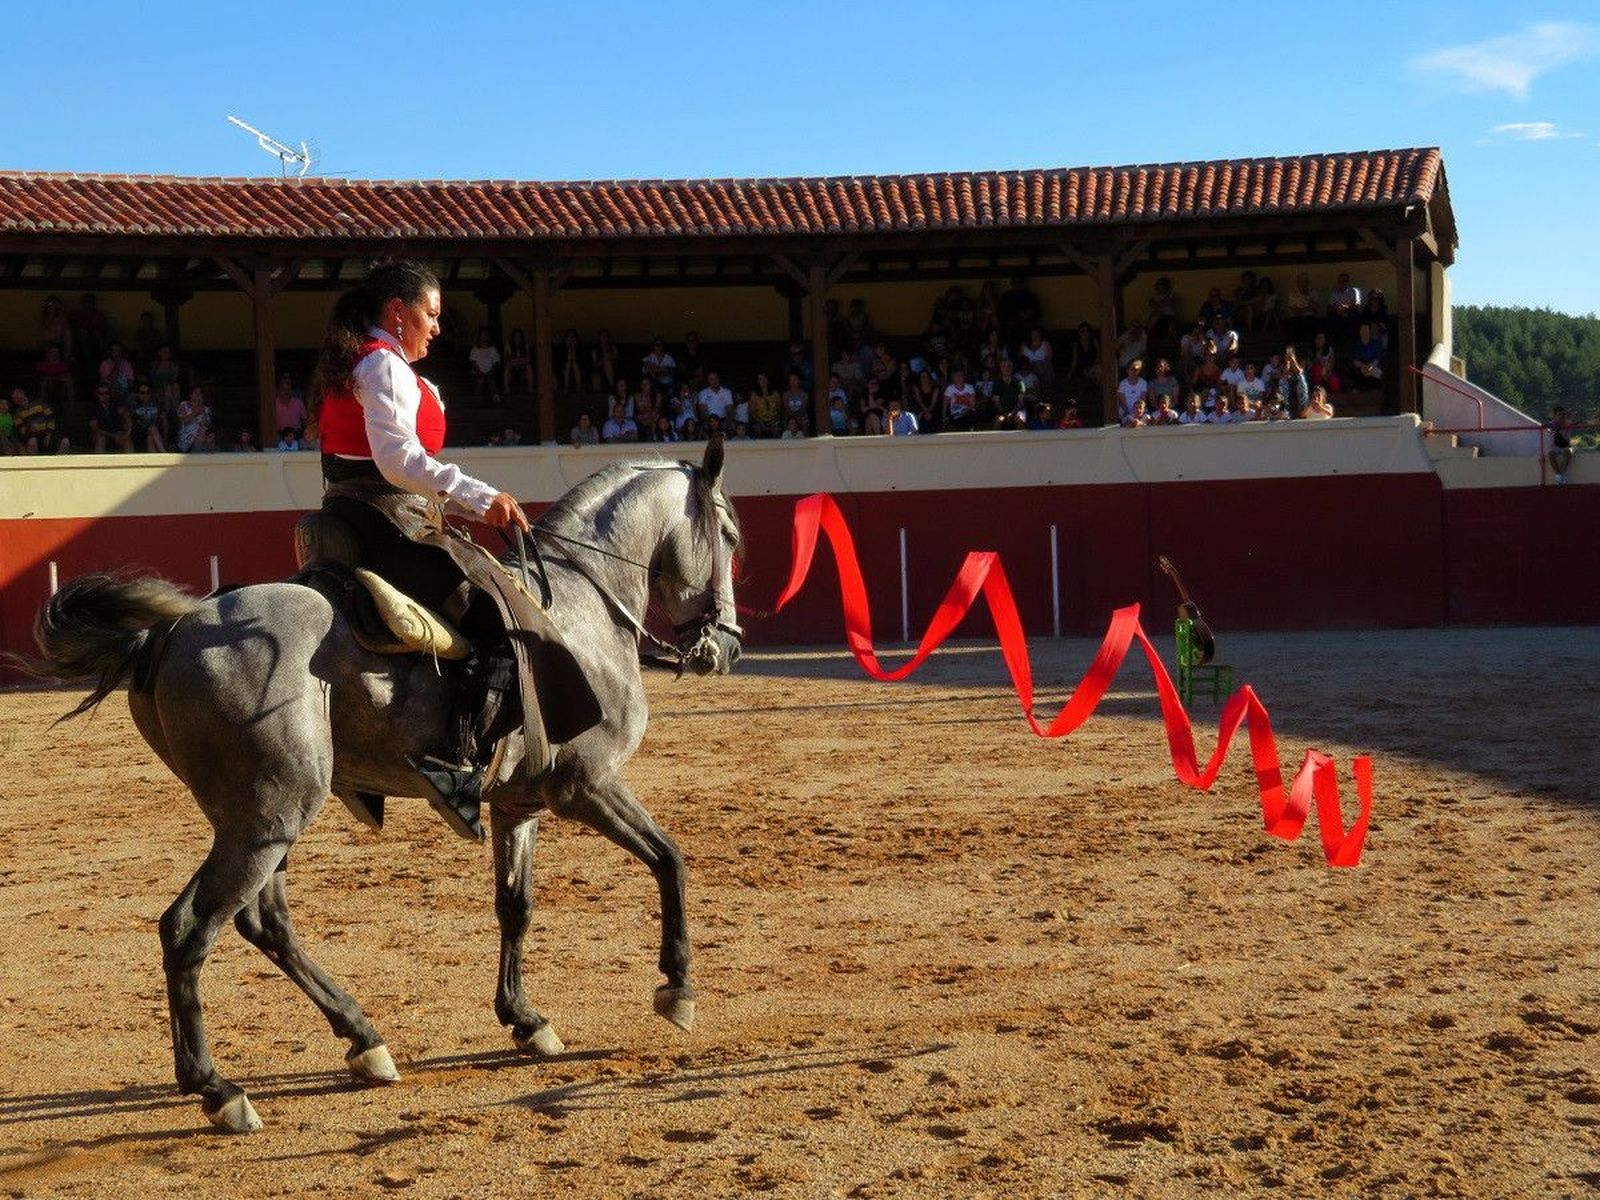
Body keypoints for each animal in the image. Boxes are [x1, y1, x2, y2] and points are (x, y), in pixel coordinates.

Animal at [14, 439, 743, 1133]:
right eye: (732, 536)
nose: (728, 647)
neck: (584, 611)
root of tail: (162, 636)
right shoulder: (587, 784)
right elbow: (669, 859)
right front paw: (677, 989)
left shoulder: (518, 803)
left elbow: (516, 906)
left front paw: (526, 1019)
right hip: (270, 816)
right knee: (190, 928)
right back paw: (220, 1091)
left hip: (263, 819)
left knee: (263, 922)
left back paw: (363, 1040)